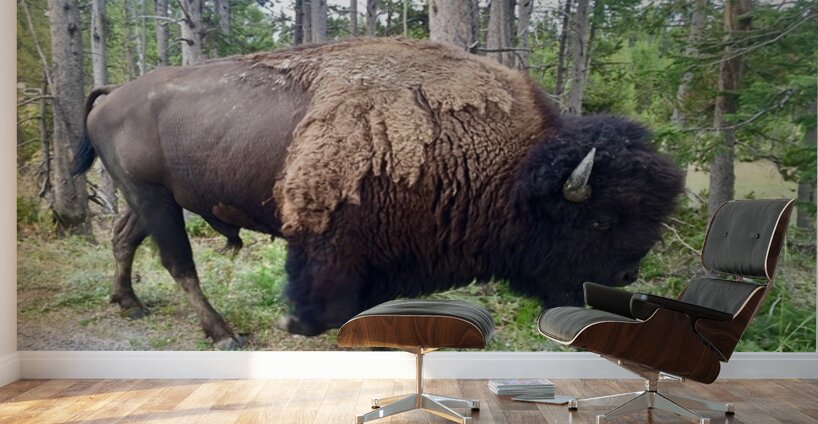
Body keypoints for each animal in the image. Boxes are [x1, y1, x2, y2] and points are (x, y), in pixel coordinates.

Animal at [72, 38, 684, 348]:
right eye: (602, 220)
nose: (627, 275)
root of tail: (114, 93)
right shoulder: (331, 238)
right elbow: (325, 296)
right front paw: (299, 325)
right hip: (153, 197)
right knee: (178, 262)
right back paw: (222, 335)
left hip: (146, 197)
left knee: (125, 239)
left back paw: (129, 304)